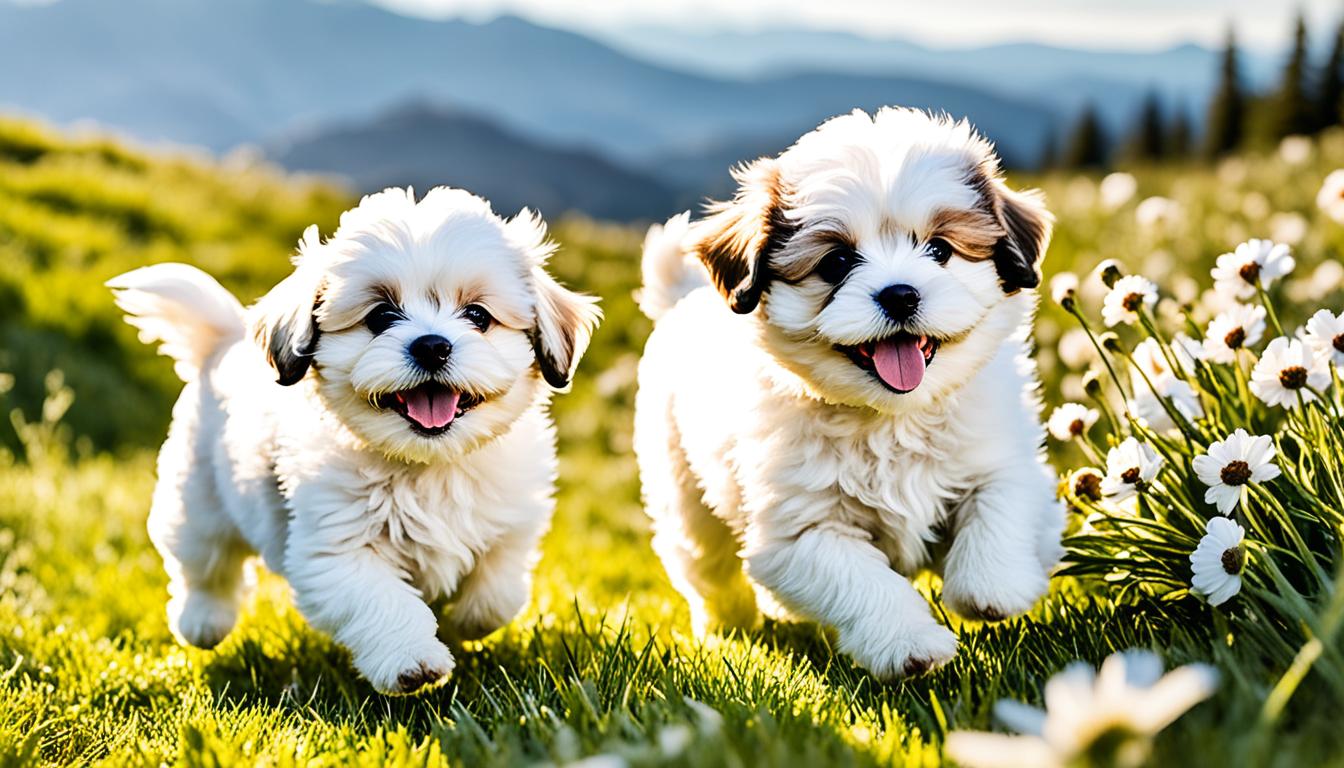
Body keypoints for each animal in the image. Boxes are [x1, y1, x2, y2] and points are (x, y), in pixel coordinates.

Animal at [107, 189, 602, 694]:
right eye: (381, 316)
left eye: (478, 316)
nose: (432, 345)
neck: (427, 465)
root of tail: (224, 343)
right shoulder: (335, 550)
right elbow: (382, 599)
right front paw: (413, 658)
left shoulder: (512, 525)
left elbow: (497, 594)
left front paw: (462, 621)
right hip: (198, 496)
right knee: (203, 564)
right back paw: (202, 621)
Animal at [634, 108, 1064, 677]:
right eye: (836, 262)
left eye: (940, 250)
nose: (901, 293)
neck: (892, 417)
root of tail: (683, 302)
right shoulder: (801, 531)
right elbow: (862, 580)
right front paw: (910, 643)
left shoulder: (1003, 458)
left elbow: (1000, 505)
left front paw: (993, 586)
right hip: (682, 496)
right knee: (705, 566)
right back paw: (727, 626)